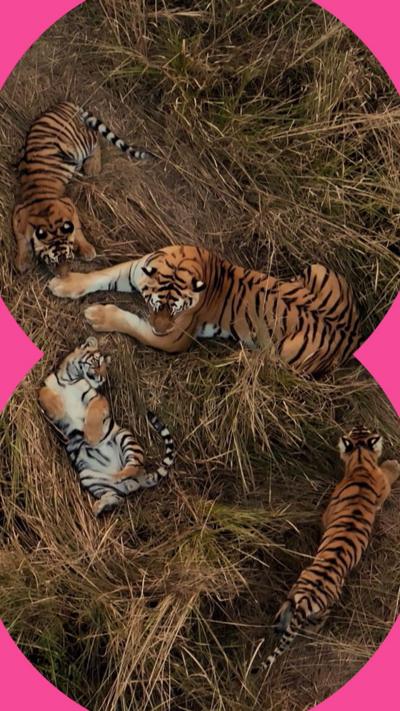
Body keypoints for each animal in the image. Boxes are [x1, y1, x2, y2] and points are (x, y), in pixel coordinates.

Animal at [13, 101, 155, 274]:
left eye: (68, 258)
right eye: (53, 262)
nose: (64, 275)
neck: (47, 219)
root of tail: (62, 103)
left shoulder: (68, 204)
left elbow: (78, 230)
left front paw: (88, 250)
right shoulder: (19, 211)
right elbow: (20, 238)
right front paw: (22, 261)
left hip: (78, 143)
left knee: (95, 137)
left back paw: (92, 167)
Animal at [38, 336, 175, 516]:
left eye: (105, 369)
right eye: (97, 363)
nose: (102, 378)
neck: (70, 378)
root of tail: (141, 478)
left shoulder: (96, 397)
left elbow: (94, 413)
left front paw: (91, 437)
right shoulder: (46, 387)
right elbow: (44, 394)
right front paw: (59, 408)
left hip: (124, 437)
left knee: (133, 466)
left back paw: (118, 475)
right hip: (89, 476)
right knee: (117, 496)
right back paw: (100, 506)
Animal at [48, 244, 361, 376]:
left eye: (176, 311)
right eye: (154, 304)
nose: (159, 327)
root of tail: (353, 336)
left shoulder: (174, 338)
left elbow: (132, 323)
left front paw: (97, 315)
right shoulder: (135, 269)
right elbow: (101, 275)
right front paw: (64, 284)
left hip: (287, 350)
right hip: (319, 269)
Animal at [261, 426, 400, 673]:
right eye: (357, 429)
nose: (357, 424)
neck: (361, 461)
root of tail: (307, 600)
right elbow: (388, 473)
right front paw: (394, 463)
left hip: (296, 596)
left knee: (292, 621)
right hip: (313, 605)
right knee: (304, 627)